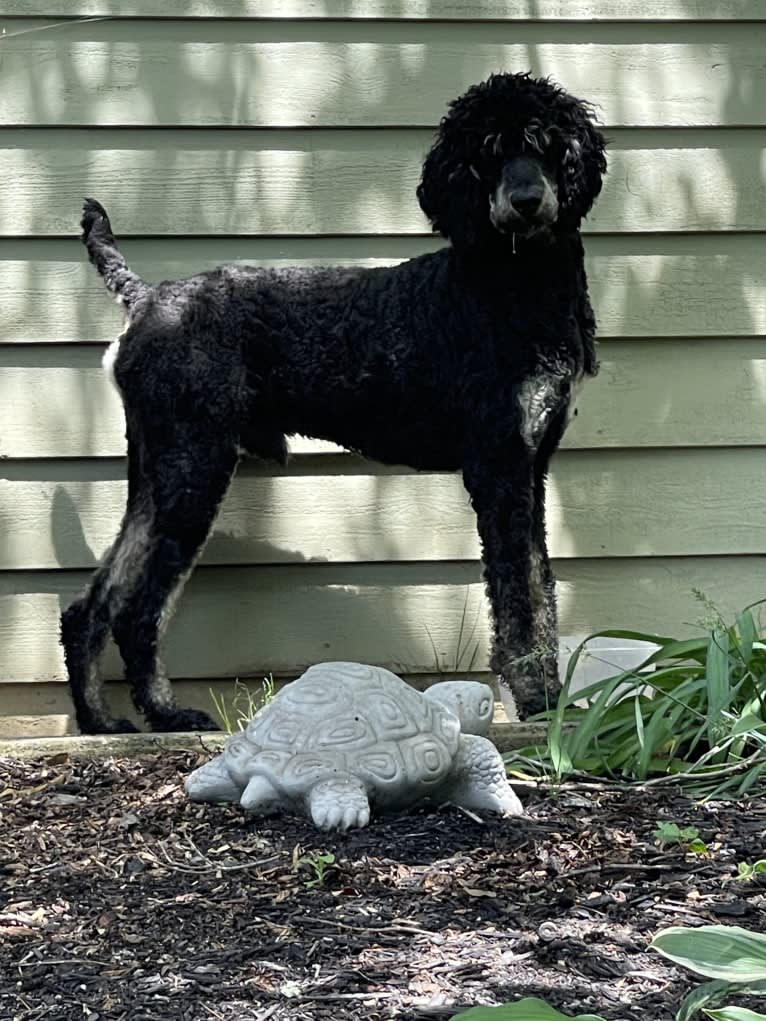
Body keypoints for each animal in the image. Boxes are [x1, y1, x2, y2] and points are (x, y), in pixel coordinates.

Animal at [63, 71, 608, 735]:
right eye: (486, 154)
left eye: (547, 143)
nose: (527, 201)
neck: (514, 281)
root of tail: (144, 299)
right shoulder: (499, 468)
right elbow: (516, 600)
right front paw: (534, 701)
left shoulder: (532, 469)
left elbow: (539, 586)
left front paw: (554, 699)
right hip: (190, 470)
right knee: (132, 608)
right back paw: (133, 718)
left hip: (160, 473)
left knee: (103, 605)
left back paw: (131, 717)